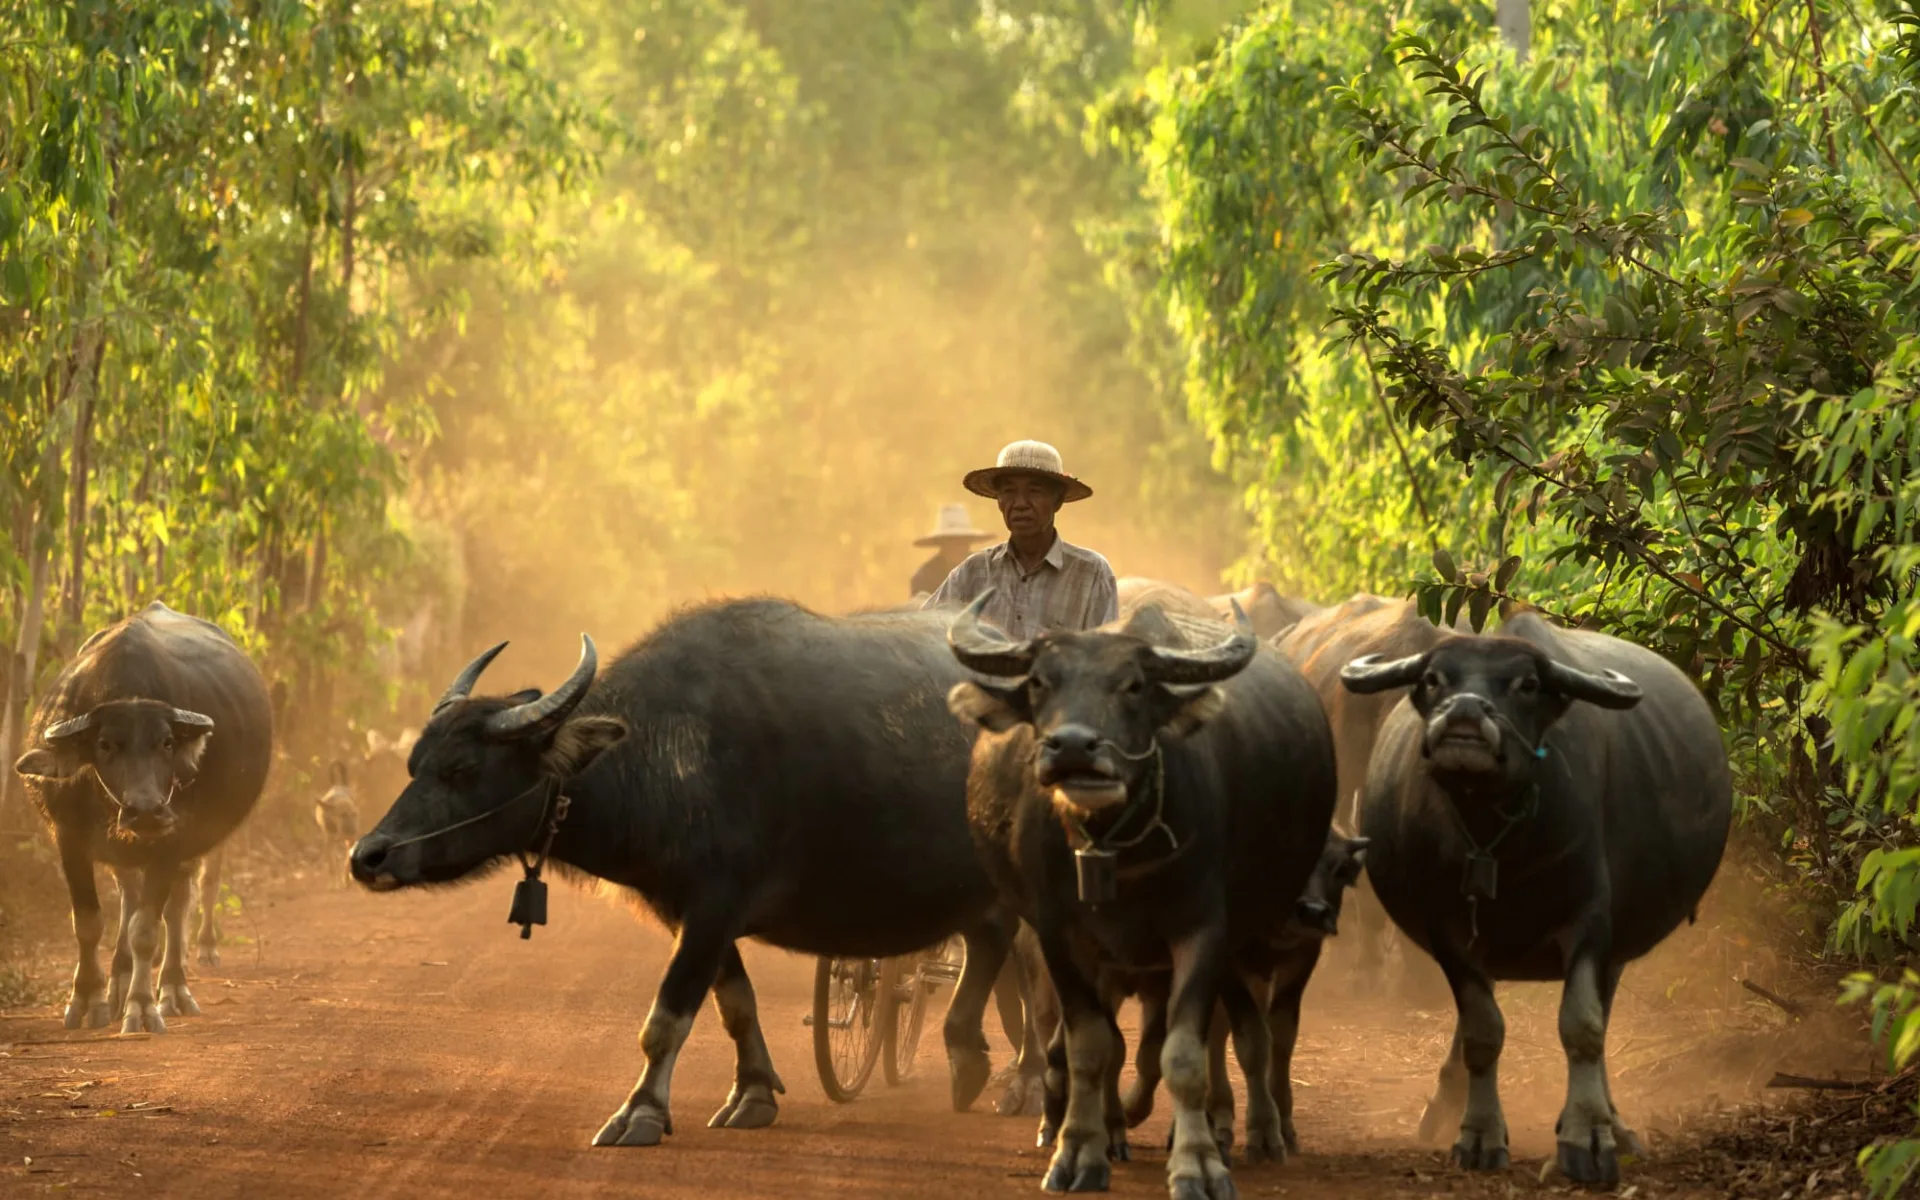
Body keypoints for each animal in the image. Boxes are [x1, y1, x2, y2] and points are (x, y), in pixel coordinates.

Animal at [11, 602, 272, 1036]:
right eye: (104, 744)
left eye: (166, 743)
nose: (146, 810)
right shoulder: (68, 838)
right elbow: (88, 923)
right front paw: (88, 999)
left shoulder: (172, 841)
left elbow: (147, 929)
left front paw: (142, 1005)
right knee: (129, 896)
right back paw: (117, 982)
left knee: (176, 906)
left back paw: (172, 988)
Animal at [353, 602, 1029, 1144]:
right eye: (415, 763)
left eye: (464, 769)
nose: (368, 855)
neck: (665, 758)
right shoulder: (693, 913)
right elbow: (736, 1005)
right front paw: (752, 1094)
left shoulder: (711, 908)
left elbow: (666, 1019)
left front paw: (640, 1114)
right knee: (992, 947)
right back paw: (969, 1060)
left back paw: (1025, 1083)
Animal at [944, 591, 1336, 1198]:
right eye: (1039, 681)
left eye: (1133, 685)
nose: (1072, 747)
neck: (1116, 853)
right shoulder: (1060, 935)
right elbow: (1089, 1046)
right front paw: (1079, 1152)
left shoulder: (1204, 933)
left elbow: (1182, 1054)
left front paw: (1197, 1162)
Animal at [1344, 614, 1735, 1182]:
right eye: (1435, 679)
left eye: (1526, 684)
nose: (1464, 711)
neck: (1500, 839)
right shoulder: (1450, 932)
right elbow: (1482, 1032)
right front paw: (1479, 1135)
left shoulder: (1591, 923)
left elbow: (1583, 1026)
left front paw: (1588, 1136)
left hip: (1616, 948)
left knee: (1602, 1015)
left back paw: (1617, 1124)